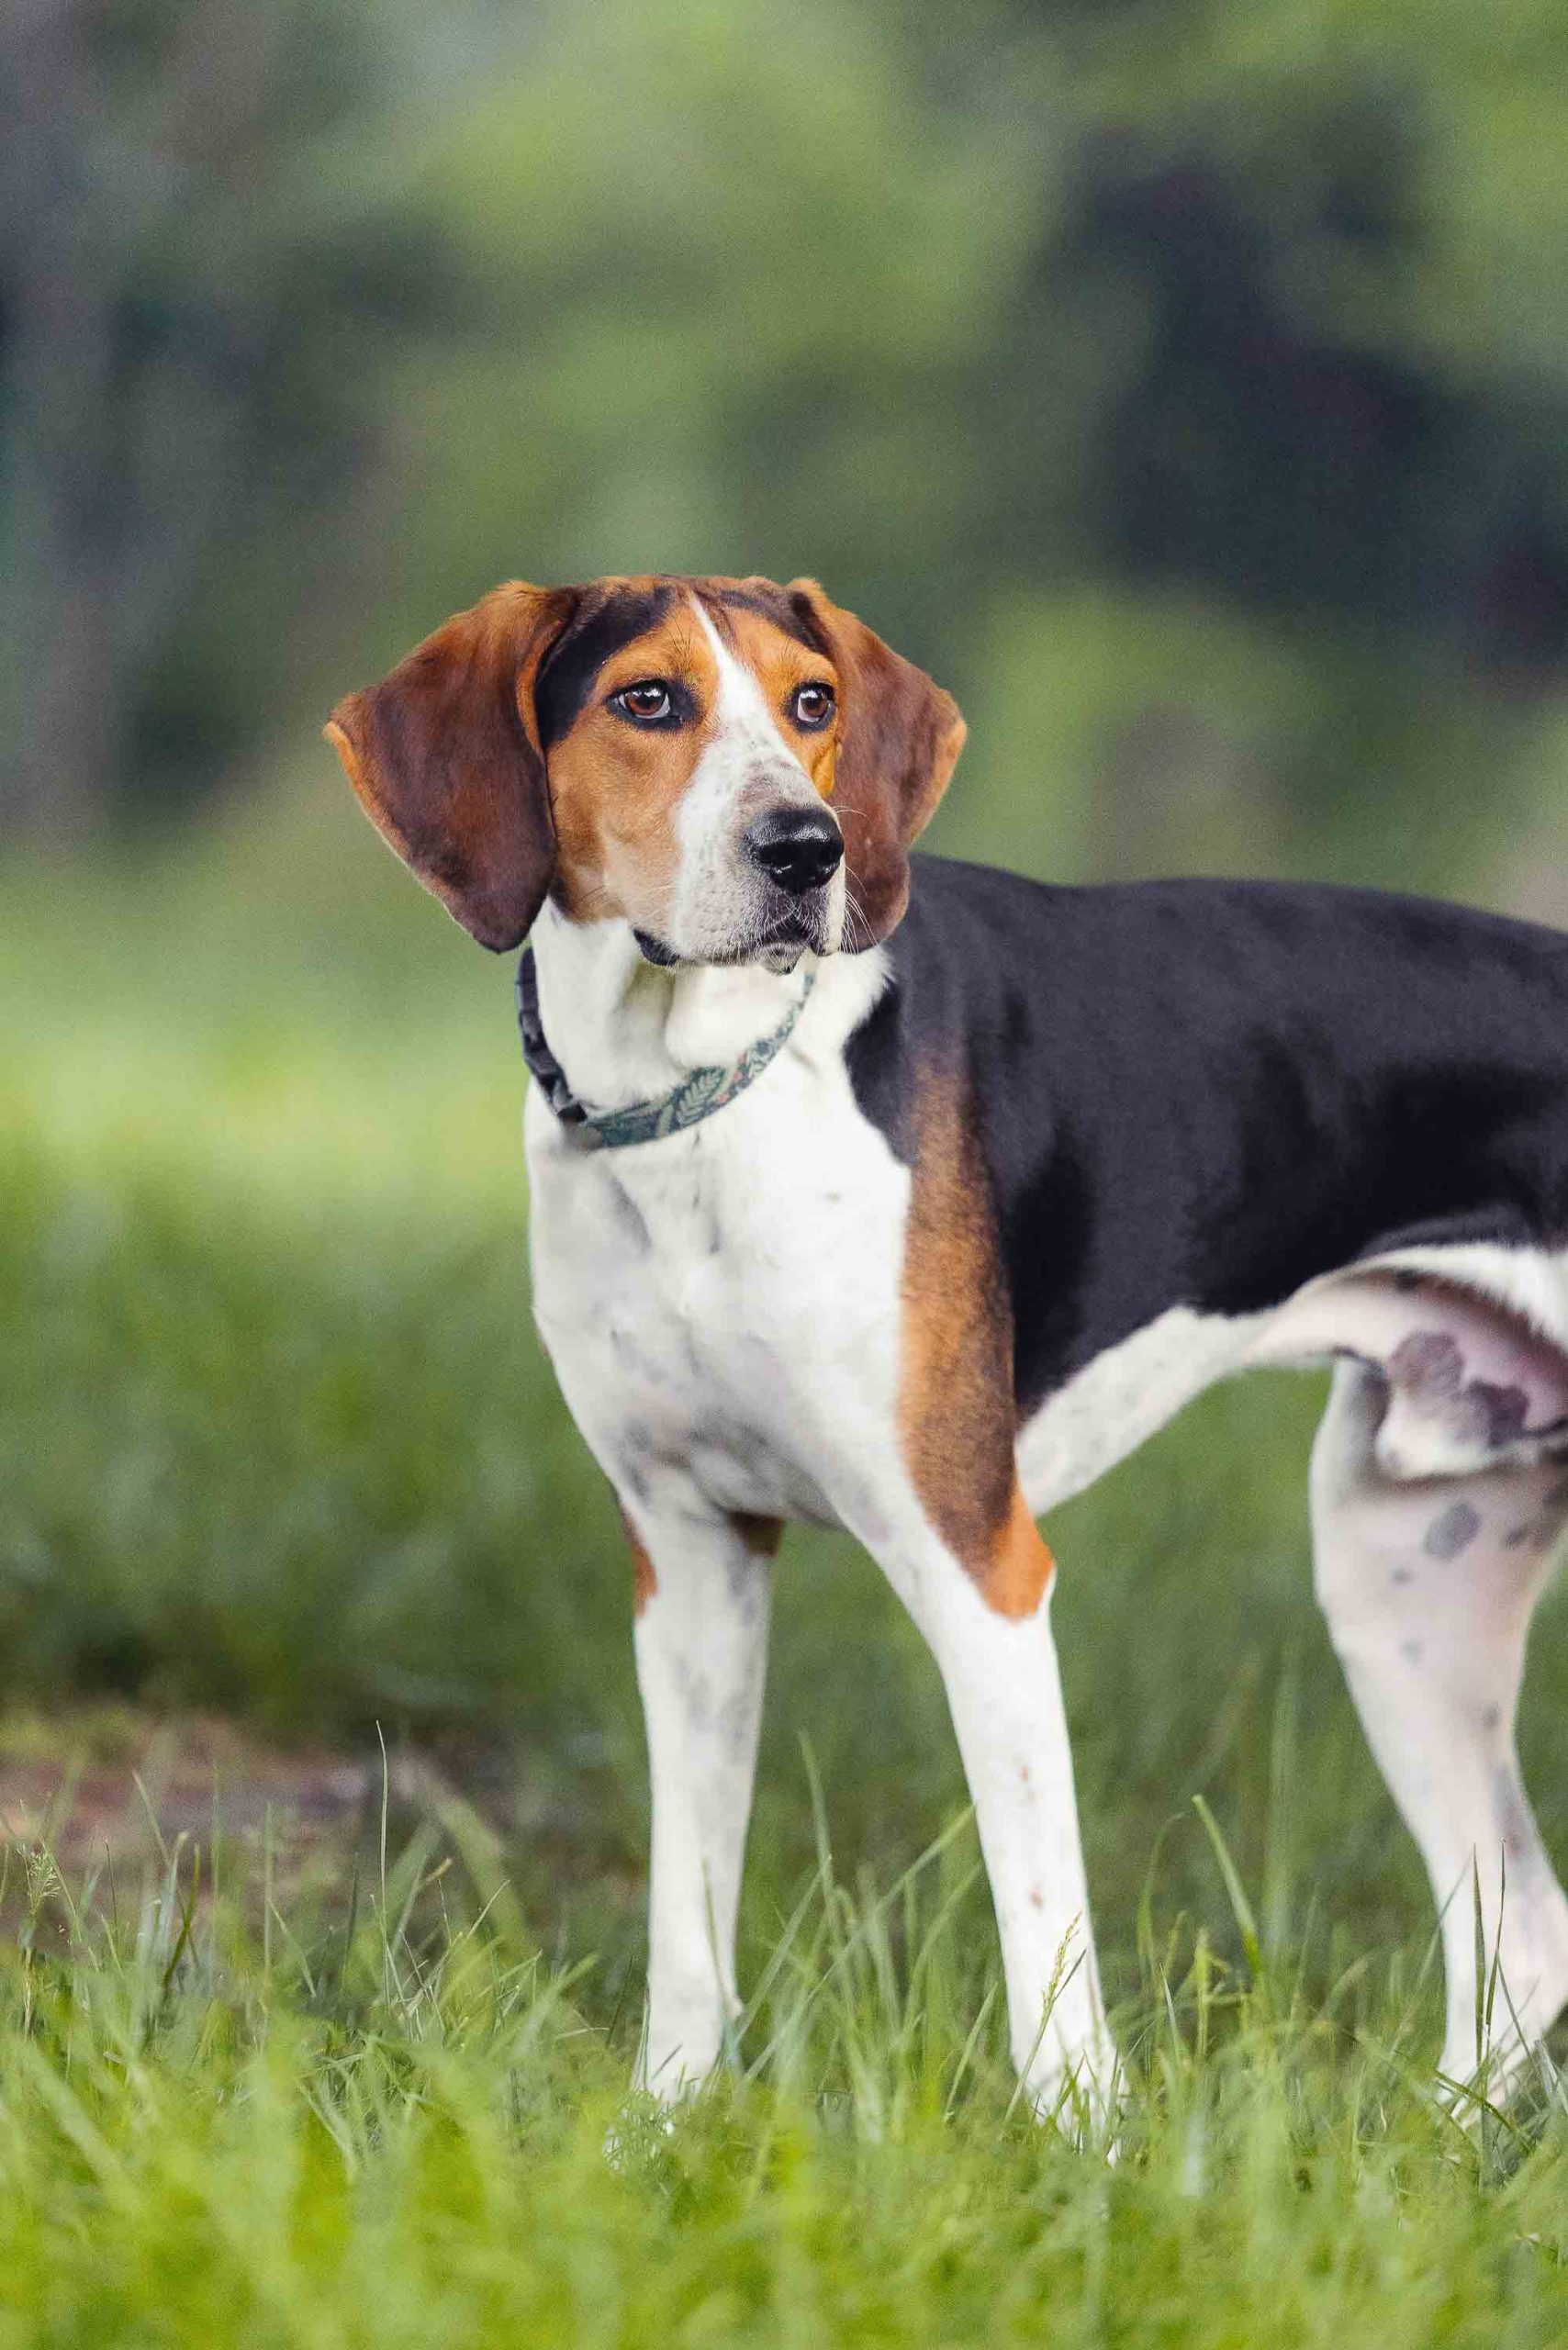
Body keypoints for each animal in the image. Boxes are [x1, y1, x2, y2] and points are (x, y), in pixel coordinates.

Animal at [321, 577, 1568, 2124]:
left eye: (812, 702)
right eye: (646, 700)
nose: (808, 847)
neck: (701, 1105)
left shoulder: (979, 1566)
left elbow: (1043, 1925)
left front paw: (1085, 2152)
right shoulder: (689, 1555)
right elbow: (688, 1907)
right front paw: (668, 2124)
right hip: (1402, 1579)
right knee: (1522, 1925)